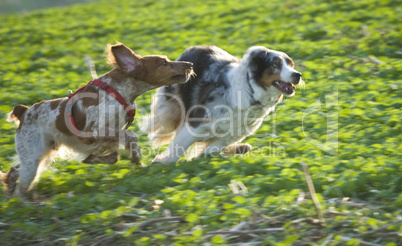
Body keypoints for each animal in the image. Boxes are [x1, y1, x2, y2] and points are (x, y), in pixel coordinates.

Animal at [3, 42, 195, 196]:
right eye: (164, 63)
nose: (190, 64)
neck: (117, 91)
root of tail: (25, 112)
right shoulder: (93, 131)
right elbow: (129, 136)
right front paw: (134, 155)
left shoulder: (108, 134)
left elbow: (112, 154)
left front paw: (116, 157)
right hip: (33, 160)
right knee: (22, 188)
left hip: (39, 155)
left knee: (14, 171)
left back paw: (10, 189)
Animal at [147, 45, 302, 164]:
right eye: (276, 64)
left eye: (291, 64)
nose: (298, 74)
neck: (251, 90)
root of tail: (193, 48)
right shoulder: (196, 123)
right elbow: (178, 147)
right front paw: (161, 163)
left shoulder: (234, 133)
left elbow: (212, 149)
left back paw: (242, 148)